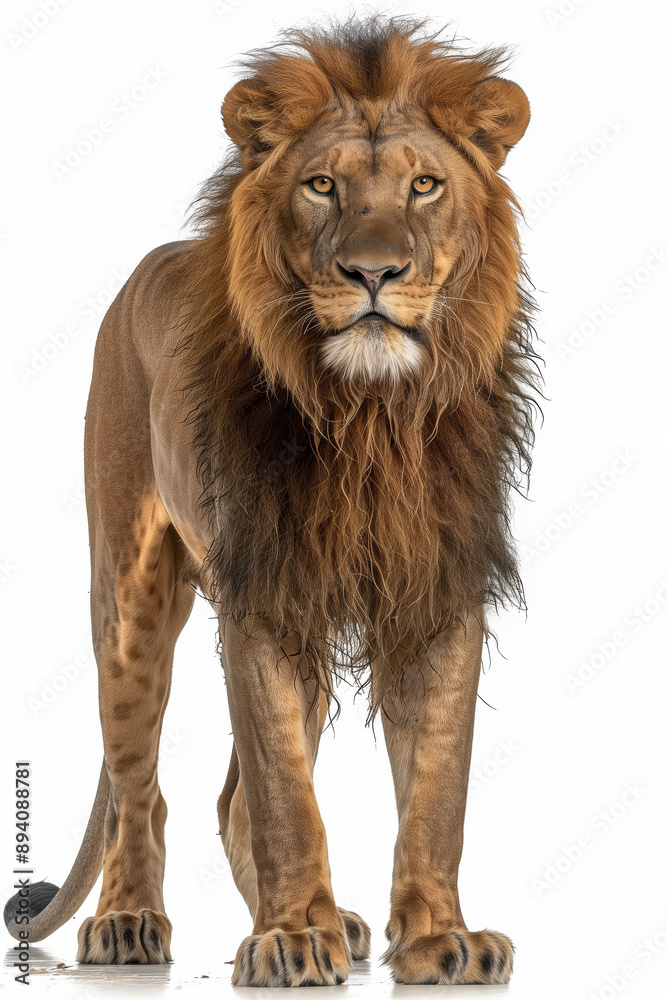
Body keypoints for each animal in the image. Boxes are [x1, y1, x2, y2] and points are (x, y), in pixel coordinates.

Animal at [4, 16, 539, 987]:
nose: (374, 272)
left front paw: (438, 938)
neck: (371, 416)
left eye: (425, 184)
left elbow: (436, 791)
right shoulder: (259, 591)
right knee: (140, 789)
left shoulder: (439, 589)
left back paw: (337, 925)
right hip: (131, 596)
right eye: (322, 186)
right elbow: (287, 795)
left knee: (230, 803)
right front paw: (291, 938)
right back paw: (130, 922)